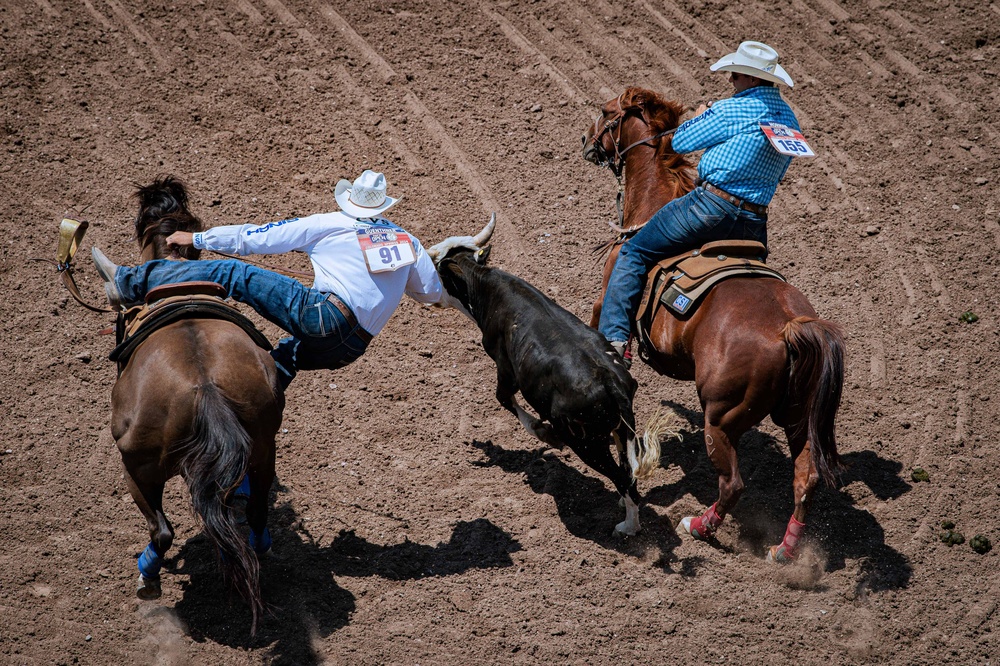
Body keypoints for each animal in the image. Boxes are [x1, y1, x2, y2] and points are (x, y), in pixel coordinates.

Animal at [113, 175, 286, 624]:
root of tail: (204, 385)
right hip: (263, 450)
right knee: (256, 509)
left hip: (138, 468)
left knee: (161, 530)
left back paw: (148, 577)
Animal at [436, 244, 664, 536]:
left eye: (441, 272)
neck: (485, 287)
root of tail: (611, 382)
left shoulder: (505, 368)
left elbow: (504, 399)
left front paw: (544, 433)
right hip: (622, 429)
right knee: (628, 470)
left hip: (587, 443)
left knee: (622, 478)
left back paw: (628, 526)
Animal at [580, 85, 844, 556]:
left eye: (606, 111)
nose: (585, 141)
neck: (652, 204)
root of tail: (789, 327)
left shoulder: (605, 295)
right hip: (797, 415)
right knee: (806, 476)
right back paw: (785, 550)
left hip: (720, 417)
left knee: (733, 483)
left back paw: (699, 526)